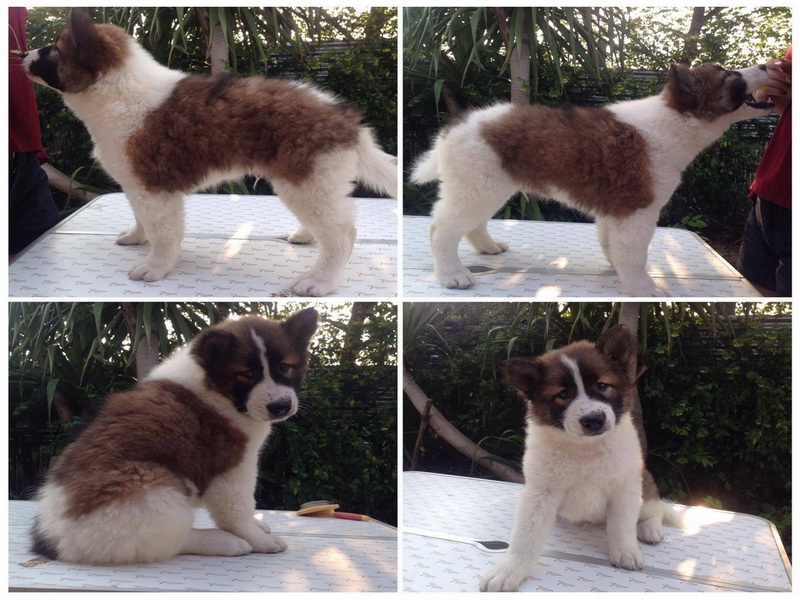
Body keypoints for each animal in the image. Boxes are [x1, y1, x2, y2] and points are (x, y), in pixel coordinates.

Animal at [22, 10, 396, 296]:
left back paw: (321, 281)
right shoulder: (136, 186)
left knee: (341, 234)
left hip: (307, 180)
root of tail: (345, 119)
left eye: (53, 50)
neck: (119, 91)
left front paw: (155, 266)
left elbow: (162, 233)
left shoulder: (153, 190)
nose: (22, 55)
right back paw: (306, 235)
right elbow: (142, 218)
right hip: (312, 183)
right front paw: (137, 237)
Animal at [30, 308, 317, 564]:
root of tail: (56, 541)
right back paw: (223, 542)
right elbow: (237, 510)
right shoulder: (232, 466)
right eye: (246, 374)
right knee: (172, 539)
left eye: (285, 367)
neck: (214, 388)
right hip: (157, 489)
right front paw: (258, 539)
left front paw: (259, 527)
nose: (281, 406)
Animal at [412, 63, 774, 296]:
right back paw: (452, 275)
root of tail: (461, 120)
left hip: (489, 185)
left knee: (469, 223)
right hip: (479, 185)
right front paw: (643, 287)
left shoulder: (615, 211)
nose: (766, 65)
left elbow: (612, 243)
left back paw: (487, 247)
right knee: (440, 229)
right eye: (729, 75)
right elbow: (634, 254)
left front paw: (619, 270)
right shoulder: (637, 210)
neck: (673, 121)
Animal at [480, 325, 680, 592]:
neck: (586, 448)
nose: (593, 420)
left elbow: (622, 525)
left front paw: (626, 552)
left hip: (644, 481)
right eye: (563, 394)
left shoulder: (625, 487)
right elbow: (524, 537)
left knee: (654, 507)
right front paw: (508, 570)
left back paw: (649, 528)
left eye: (603, 386)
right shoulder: (540, 493)